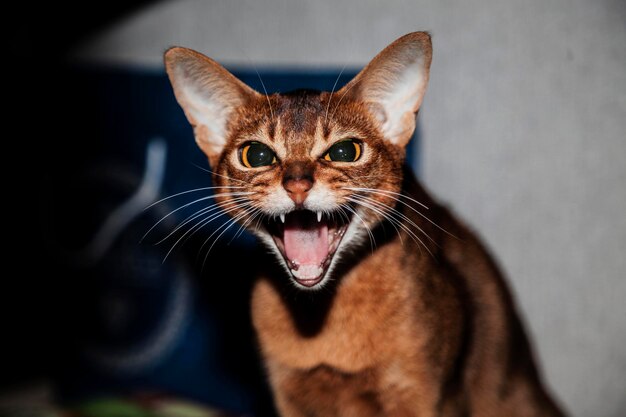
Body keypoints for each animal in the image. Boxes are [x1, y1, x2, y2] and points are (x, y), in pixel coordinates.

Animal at [163, 32, 564, 416]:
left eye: (345, 151)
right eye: (256, 155)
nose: (297, 185)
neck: (321, 319)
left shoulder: (425, 398)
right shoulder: (289, 395)